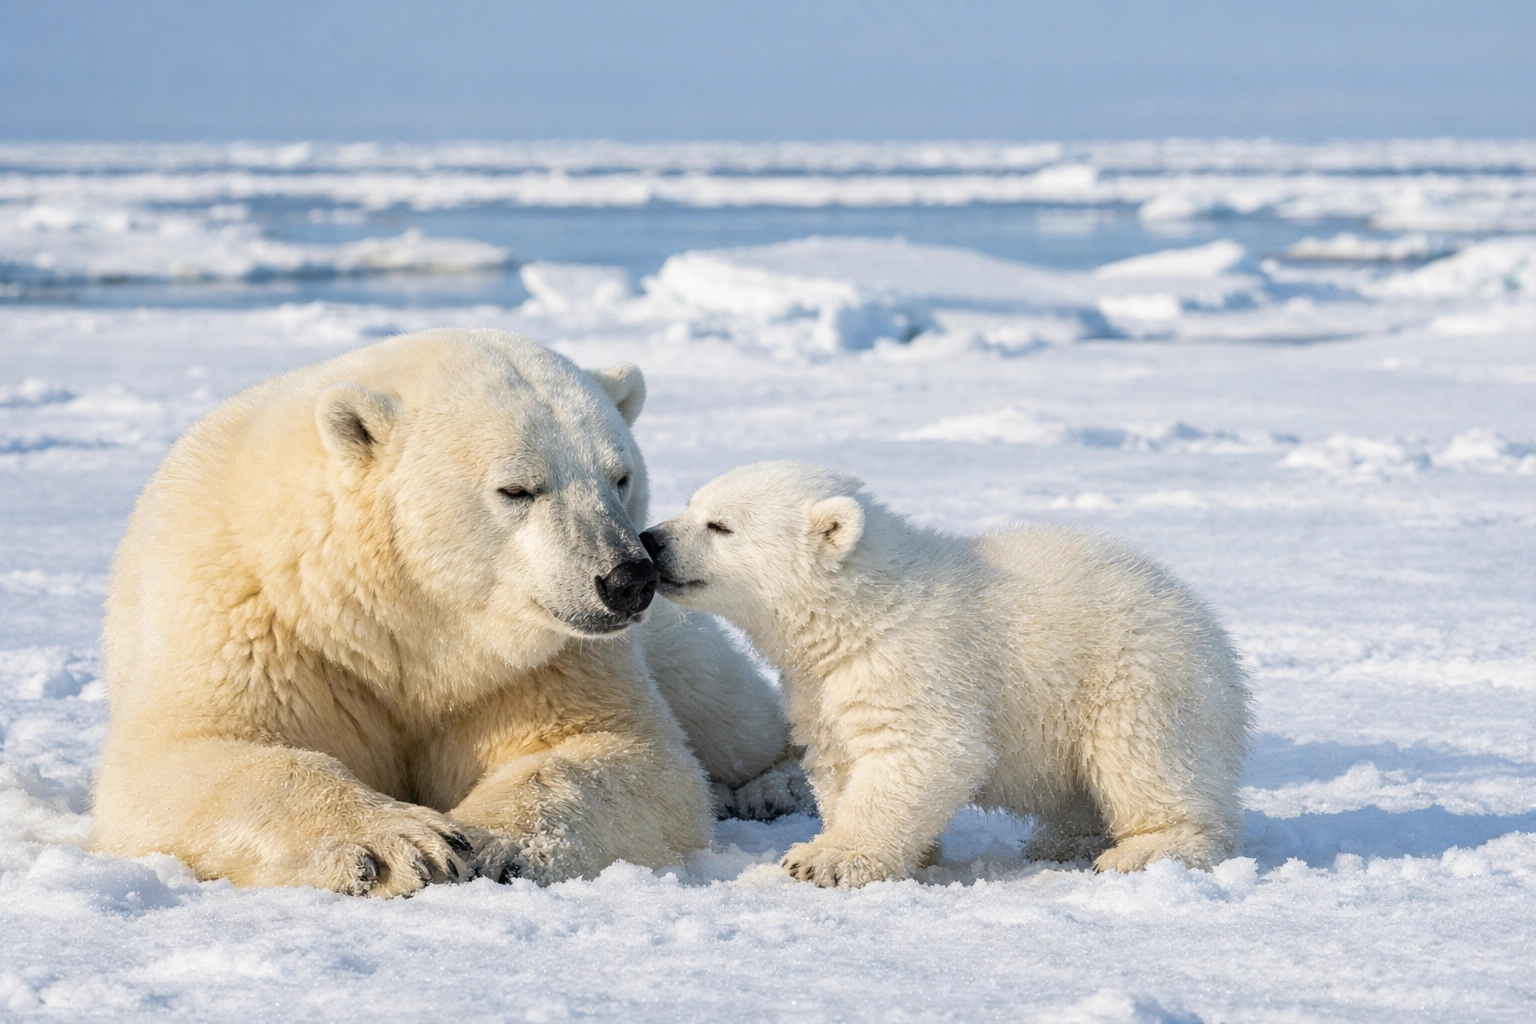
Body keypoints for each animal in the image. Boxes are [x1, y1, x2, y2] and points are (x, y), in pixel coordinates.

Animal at [92, 328, 800, 896]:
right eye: (518, 488)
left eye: (619, 477)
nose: (628, 579)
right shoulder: (255, 626)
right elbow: (182, 758)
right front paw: (398, 846)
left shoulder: (538, 665)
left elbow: (611, 750)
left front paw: (486, 841)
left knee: (725, 710)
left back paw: (771, 787)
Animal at [643, 460, 1252, 887]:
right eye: (690, 503)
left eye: (720, 525)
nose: (651, 539)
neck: (866, 609)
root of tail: (1216, 641)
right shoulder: (820, 686)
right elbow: (839, 757)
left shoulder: (919, 662)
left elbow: (926, 751)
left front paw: (826, 860)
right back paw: (1061, 843)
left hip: (1138, 675)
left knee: (1143, 758)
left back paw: (1146, 848)